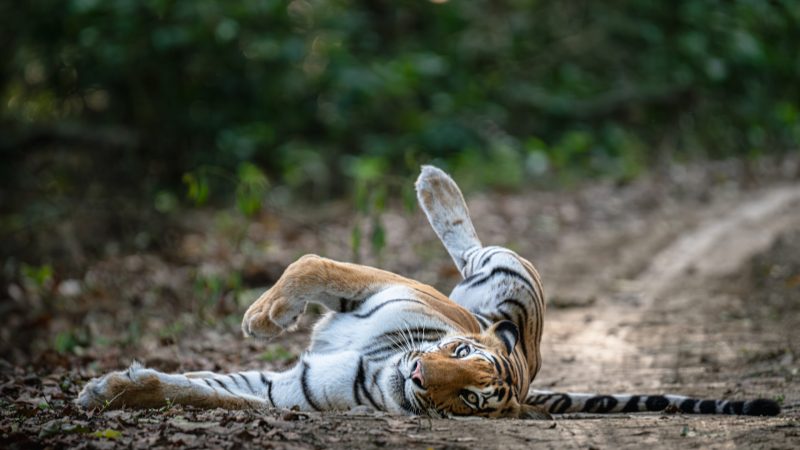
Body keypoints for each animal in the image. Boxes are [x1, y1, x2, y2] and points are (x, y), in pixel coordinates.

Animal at [78, 165, 780, 418]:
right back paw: (435, 181)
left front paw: (109, 391)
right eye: (463, 355)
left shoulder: (286, 394)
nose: (420, 376)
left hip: (513, 279)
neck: (378, 369)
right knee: (468, 244)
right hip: (496, 281)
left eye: (471, 398)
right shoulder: (387, 287)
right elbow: (312, 262)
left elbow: (209, 391)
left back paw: (434, 182)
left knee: (473, 245)